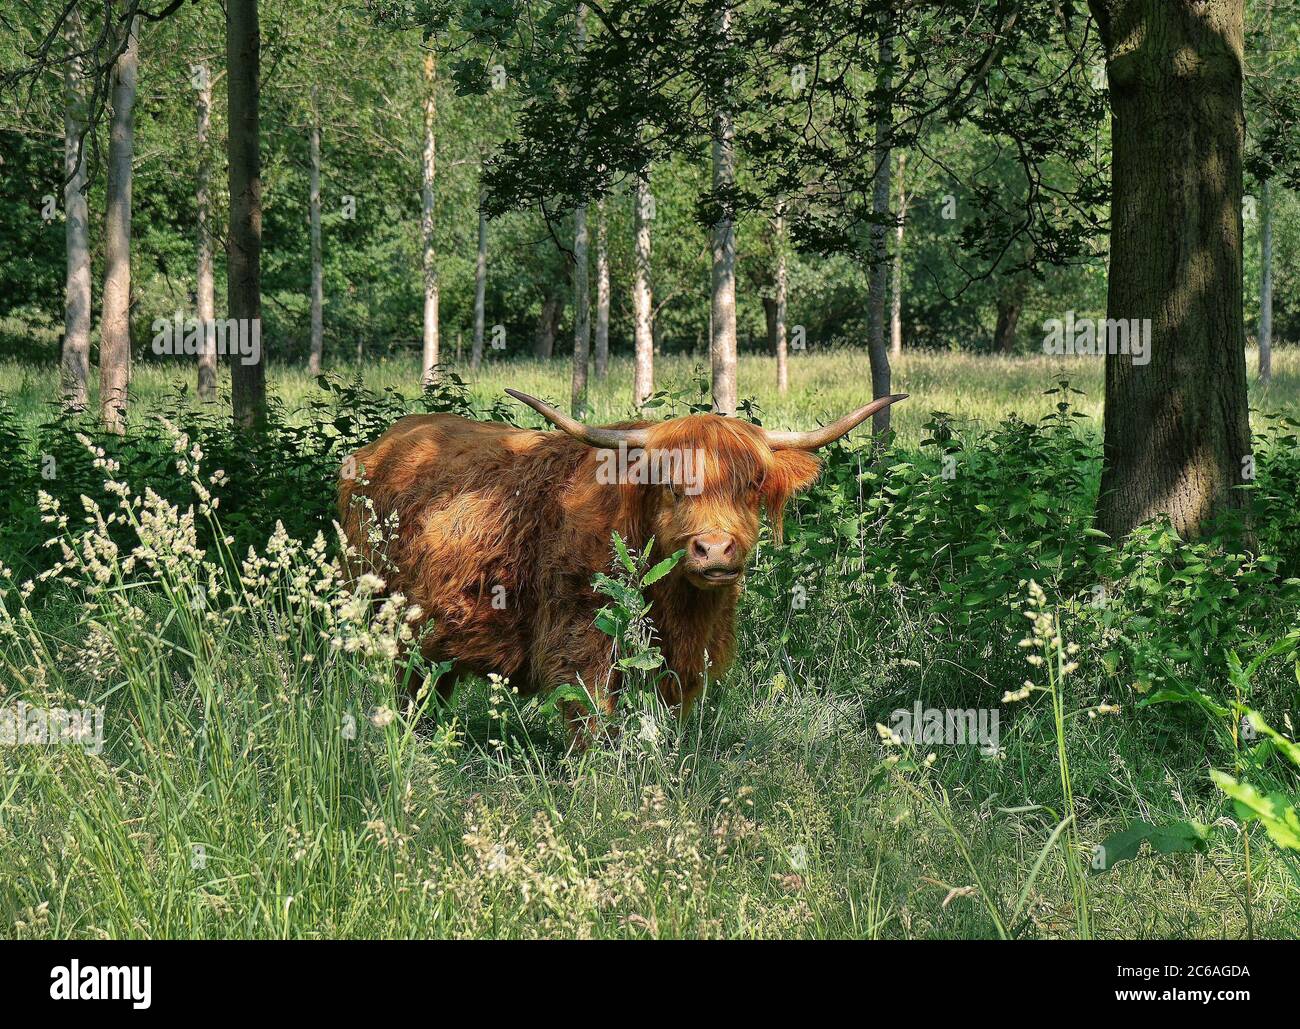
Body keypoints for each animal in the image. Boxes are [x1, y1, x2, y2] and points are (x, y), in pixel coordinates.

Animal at [339, 389, 907, 745]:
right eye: (672, 486)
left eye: (750, 485)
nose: (715, 550)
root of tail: (379, 446)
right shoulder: (579, 640)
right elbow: (592, 718)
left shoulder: (685, 659)